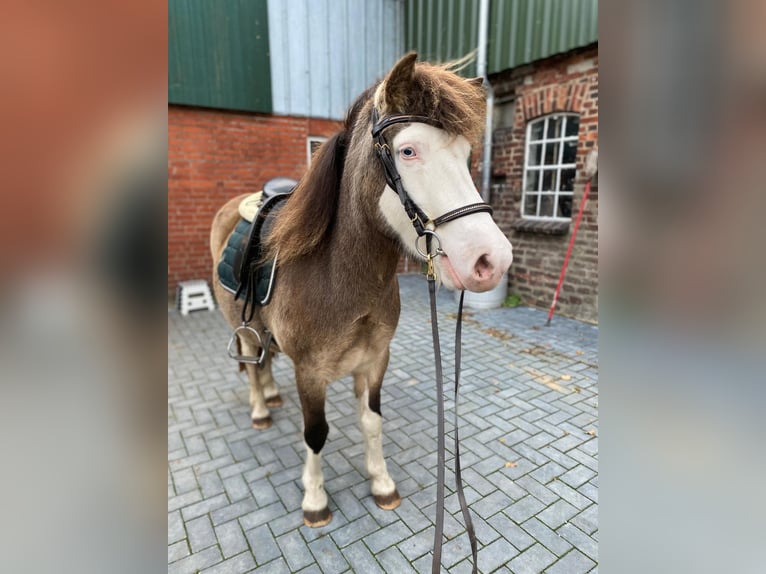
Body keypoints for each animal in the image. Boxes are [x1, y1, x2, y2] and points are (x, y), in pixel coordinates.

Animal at [210, 52, 513, 527]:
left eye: (466, 155)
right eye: (408, 151)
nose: (491, 260)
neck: (339, 281)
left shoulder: (374, 361)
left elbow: (372, 422)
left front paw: (382, 483)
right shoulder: (309, 373)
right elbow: (316, 433)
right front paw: (315, 499)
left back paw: (273, 397)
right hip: (241, 329)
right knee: (253, 367)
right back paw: (261, 408)